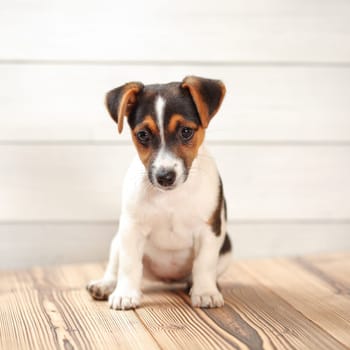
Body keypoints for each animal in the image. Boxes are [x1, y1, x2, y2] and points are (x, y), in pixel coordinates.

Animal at [86, 74, 231, 308]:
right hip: (117, 241)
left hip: (226, 249)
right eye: (143, 134)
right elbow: (129, 265)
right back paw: (105, 285)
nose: (165, 177)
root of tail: (168, 279)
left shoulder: (209, 230)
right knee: (115, 268)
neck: (171, 196)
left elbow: (204, 264)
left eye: (186, 132)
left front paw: (206, 292)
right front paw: (125, 294)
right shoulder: (132, 228)